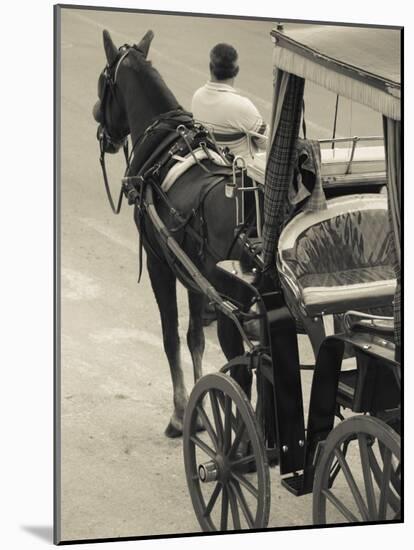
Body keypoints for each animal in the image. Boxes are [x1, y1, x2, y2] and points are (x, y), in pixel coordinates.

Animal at [93, 30, 256, 438]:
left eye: (103, 82)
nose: (98, 120)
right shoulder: (194, 276)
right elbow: (195, 337)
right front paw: (199, 410)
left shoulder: (160, 264)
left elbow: (170, 337)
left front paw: (182, 414)